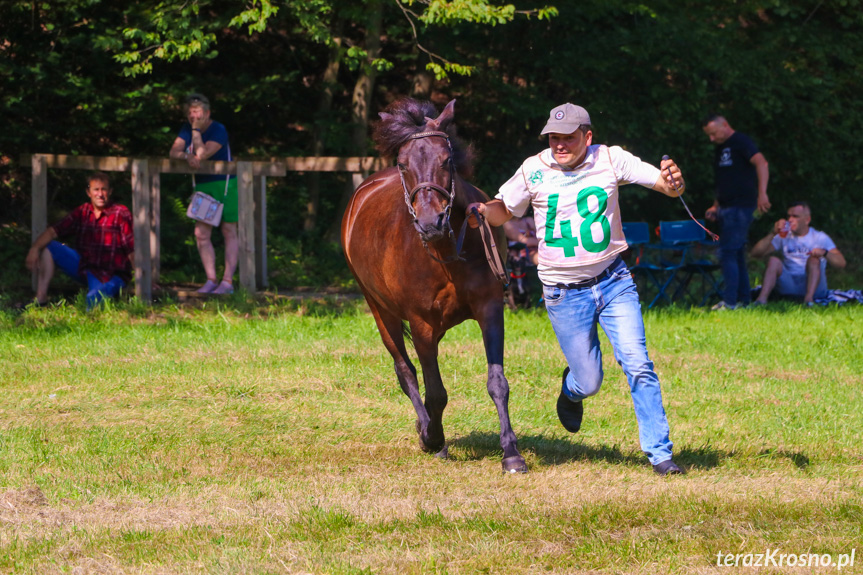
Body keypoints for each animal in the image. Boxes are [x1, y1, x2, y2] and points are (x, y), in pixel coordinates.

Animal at [342, 99, 528, 474]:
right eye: (402, 164)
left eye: (447, 160)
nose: (431, 222)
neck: (446, 252)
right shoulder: (421, 324)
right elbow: (435, 390)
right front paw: (432, 438)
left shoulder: (490, 309)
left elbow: (497, 382)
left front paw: (511, 453)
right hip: (380, 310)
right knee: (405, 370)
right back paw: (428, 430)